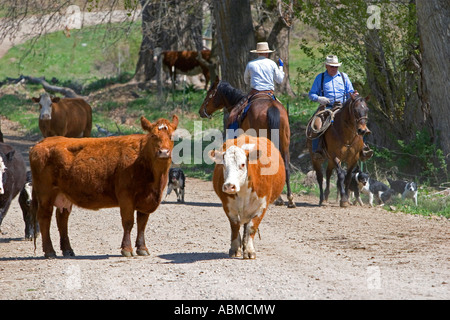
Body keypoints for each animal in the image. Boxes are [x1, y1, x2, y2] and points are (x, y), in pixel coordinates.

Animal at [28, 115, 178, 258]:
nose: (164, 152)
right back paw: (49, 251)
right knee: (44, 218)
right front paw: (127, 249)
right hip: (45, 194)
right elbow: (128, 222)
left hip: (63, 195)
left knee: (62, 219)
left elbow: (142, 224)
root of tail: (41, 143)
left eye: (171, 136)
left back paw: (68, 250)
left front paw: (142, 248)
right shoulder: (126, 197)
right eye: (153, 136)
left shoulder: (146, 200)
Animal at [198, 77, 296, 208]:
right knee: (284, 166)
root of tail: (272, 107)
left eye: (209, 94)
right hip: (285, 143)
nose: (200, 111)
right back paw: (289, 199)